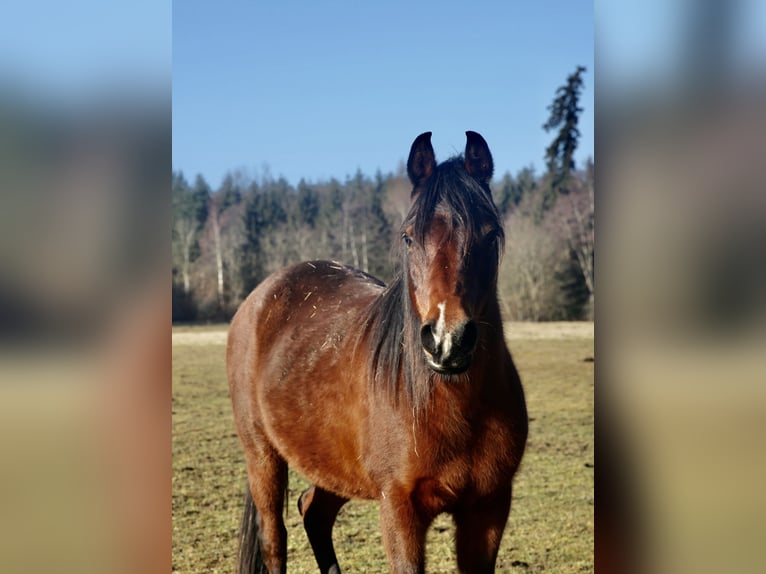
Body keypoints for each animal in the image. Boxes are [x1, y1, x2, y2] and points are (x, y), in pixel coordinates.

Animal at [227, 131, 528, 573]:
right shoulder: (399, 508)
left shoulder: (488, 510)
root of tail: (259, 298)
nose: (448, 339)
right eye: (408, 237)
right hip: (261, 455)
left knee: (313, 511)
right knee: (274, 538)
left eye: (490, 235)